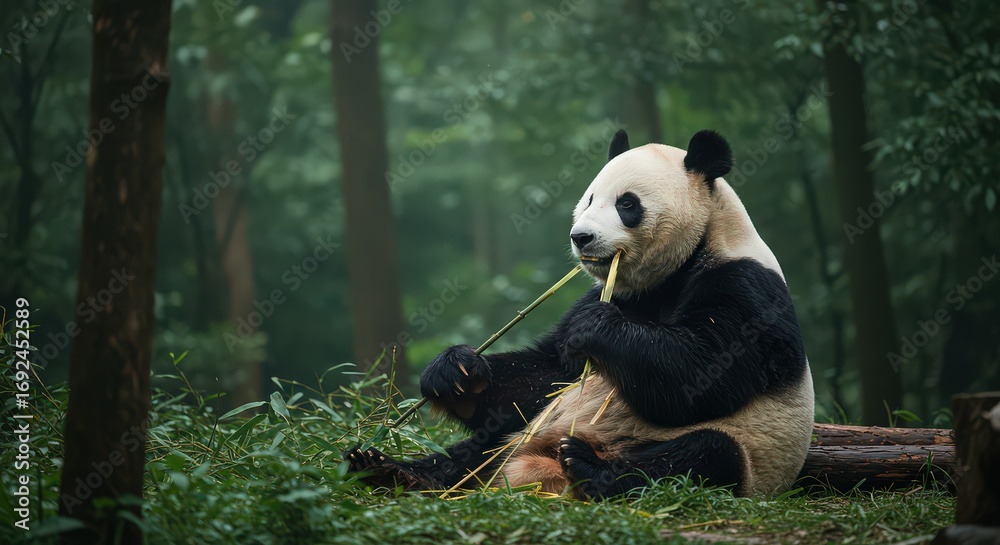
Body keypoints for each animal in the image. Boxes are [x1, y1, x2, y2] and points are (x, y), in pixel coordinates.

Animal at [347, 129, 815, 500]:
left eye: (627, 204)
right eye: (590, 198)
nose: (581, 237)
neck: (682, 264)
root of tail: (539, 470)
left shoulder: (745, 288)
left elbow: (701, 377)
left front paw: (599, 330)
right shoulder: (604, 295)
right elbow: (548, 374)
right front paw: (456, 373)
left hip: (750, 453)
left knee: (700, 458)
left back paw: (590, 466)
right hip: (516, 440)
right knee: (480, 448)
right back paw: (390, 470)